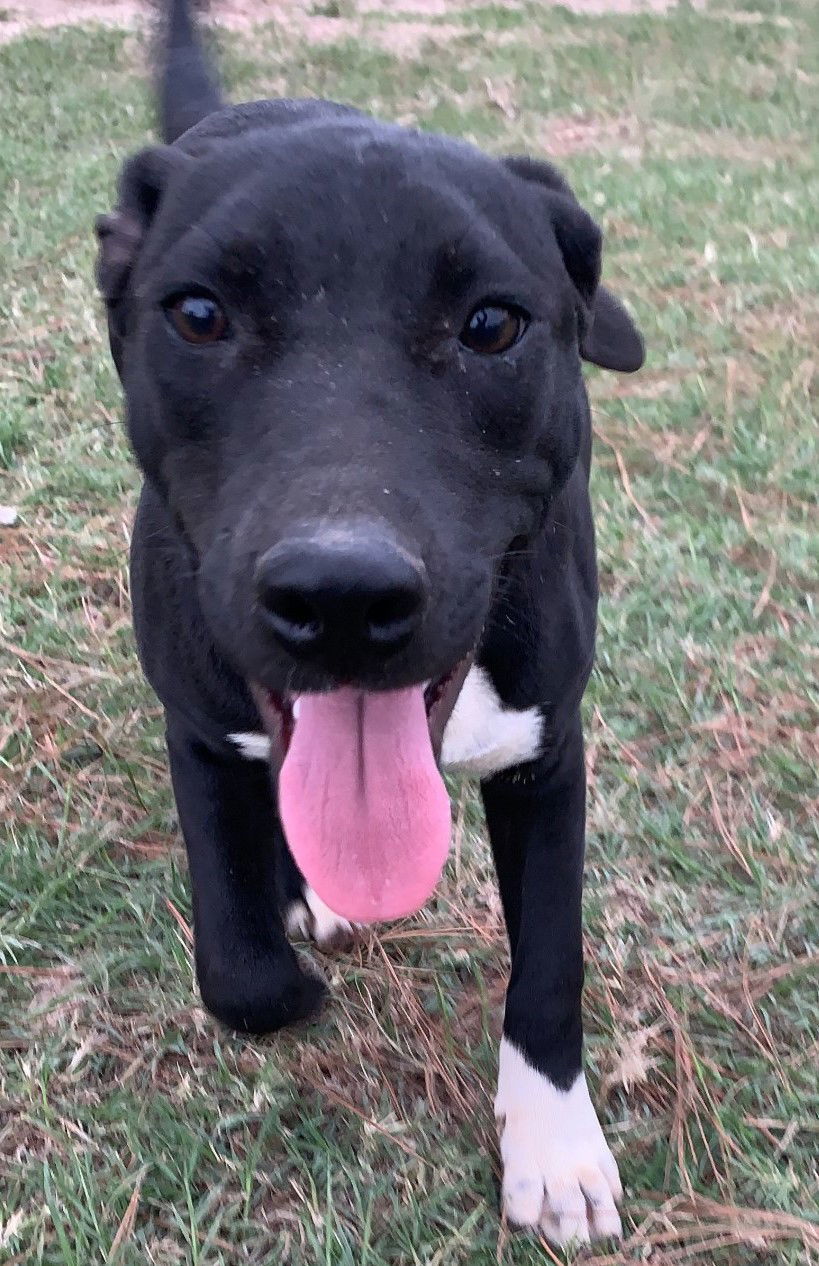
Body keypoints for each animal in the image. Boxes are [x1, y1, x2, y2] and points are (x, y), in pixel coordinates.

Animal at [96, 0, 648, 1245]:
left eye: (491, 324)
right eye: (198, 314)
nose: (340, 593)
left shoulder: (549, 752)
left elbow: (551, 964)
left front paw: (554, 1146)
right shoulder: (197, 722)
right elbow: (242, 975)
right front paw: (287, 957)